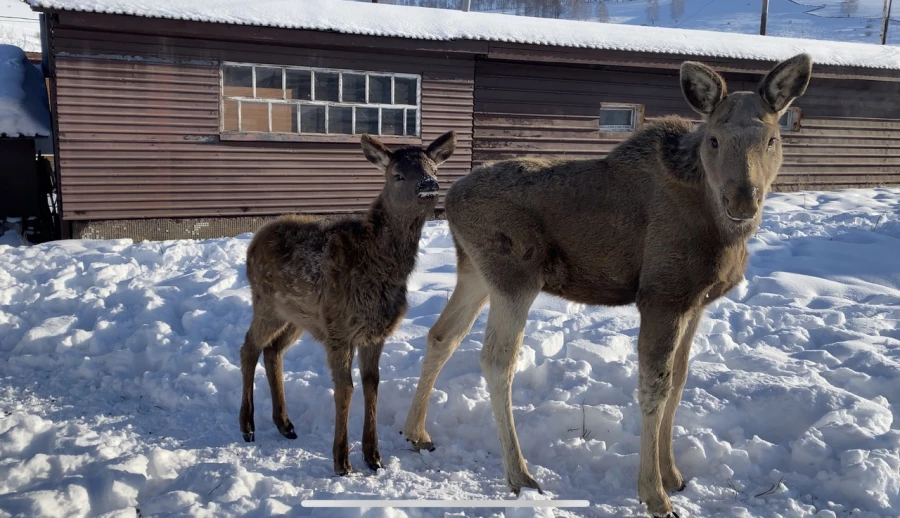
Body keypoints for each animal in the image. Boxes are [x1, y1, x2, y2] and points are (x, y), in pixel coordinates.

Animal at [404, 53, 812, 518]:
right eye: (714, 140)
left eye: (772, 139)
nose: (743, 200)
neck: (721, 231)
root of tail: (448, 199)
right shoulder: (661, 295)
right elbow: (655, 388)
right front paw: (655, 494)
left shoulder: (696, 302)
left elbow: (680, 382)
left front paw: (674, 474)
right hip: (514, 276)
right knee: (496, 361)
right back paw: (520, 475)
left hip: (474, 272)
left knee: (442, 336)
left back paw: (417, 432)